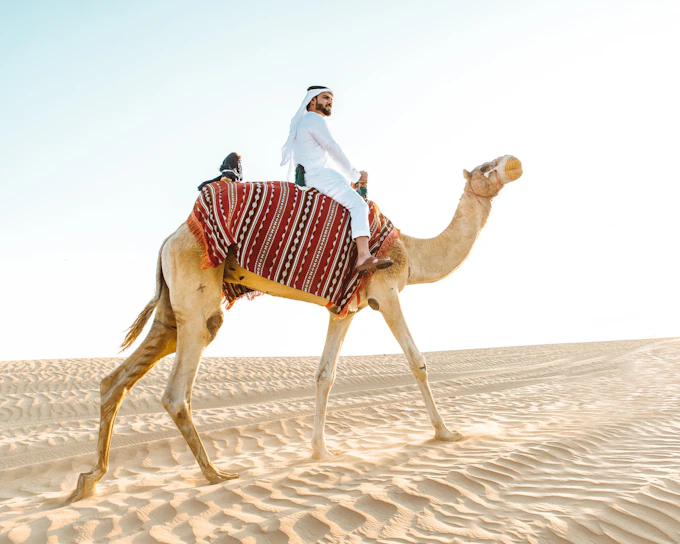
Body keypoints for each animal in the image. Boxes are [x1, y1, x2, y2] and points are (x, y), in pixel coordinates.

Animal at [67, 154, 523, 503]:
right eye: (485, 167)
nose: (511, 162)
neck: (411, 251)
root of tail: (169, 238)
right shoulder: (386, 292)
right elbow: (417, 361)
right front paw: (446, 432)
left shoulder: (344, 309)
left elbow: (325, 375)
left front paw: (320, 451)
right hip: (197, 294)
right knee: (178, 388)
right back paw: (215, 473)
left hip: (170, 308)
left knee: (117, 378)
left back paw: (89, 480)